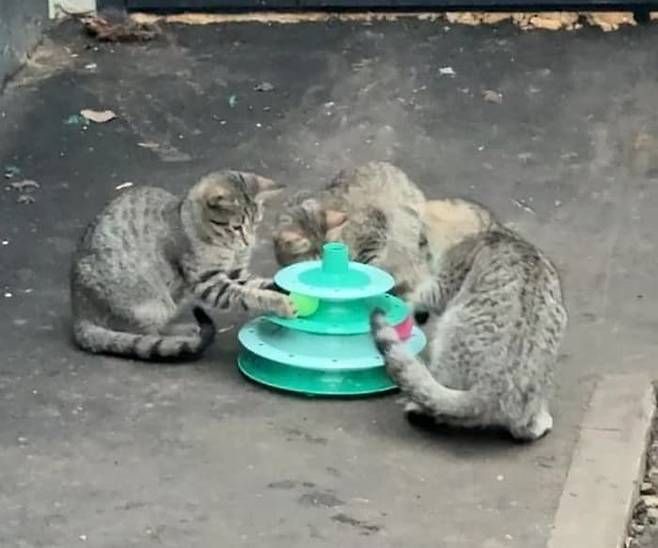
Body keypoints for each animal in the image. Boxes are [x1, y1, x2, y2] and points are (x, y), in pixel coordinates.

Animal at [71, 170, 295, 362]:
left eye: (256, 223)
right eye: (236, 227)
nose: (249, 242)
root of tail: (80, 313)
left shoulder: (236, 272)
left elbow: (258, 284)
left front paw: (280, 289)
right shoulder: (208, 281)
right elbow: (246, 294)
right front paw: (278, 302)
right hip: (149, 304)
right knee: (142, 335)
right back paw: (182, 335)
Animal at [370, 199, 567, 441]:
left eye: (421, 241)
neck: (490, 229)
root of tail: (492, 391)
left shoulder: (446, 281)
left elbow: (424, 294)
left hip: (450, 331)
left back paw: (419, 407)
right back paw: (538, 421)